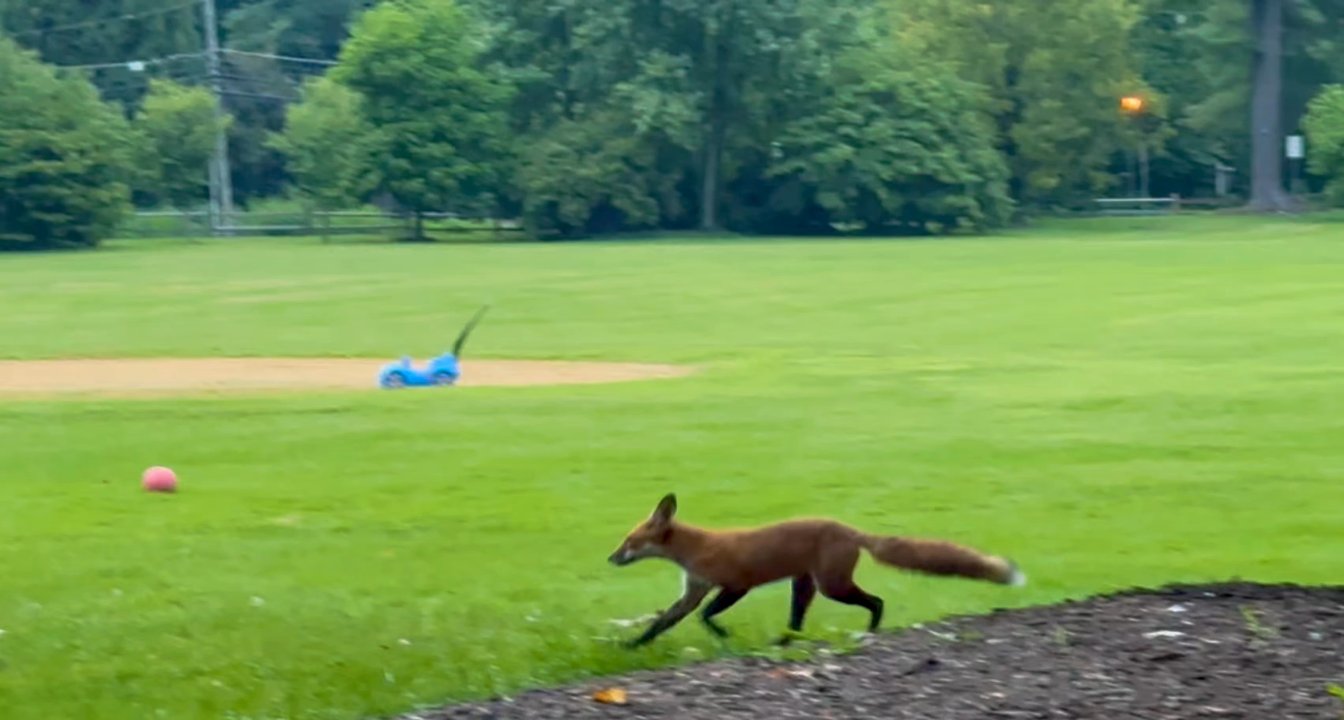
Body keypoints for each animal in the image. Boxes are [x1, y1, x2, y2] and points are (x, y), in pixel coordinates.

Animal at [607, 493, 1026, 648]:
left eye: (629, 542)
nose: (610, 558)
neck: (697, 549)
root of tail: (849, 530)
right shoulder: (692, 590)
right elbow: (662, 623)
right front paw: (632, 646)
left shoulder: (736, 584)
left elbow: (707, 616)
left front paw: (723, 634)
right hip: (805, 586)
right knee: (797, 622)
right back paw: (783, 643)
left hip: (831, 586)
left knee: (876, 601)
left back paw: (871, 632)